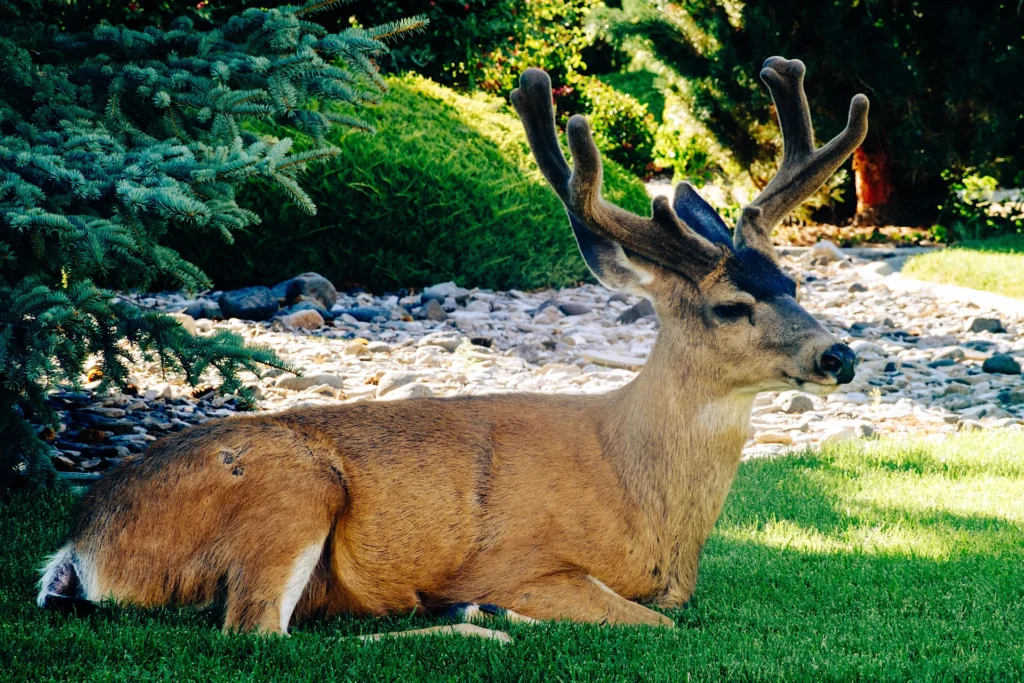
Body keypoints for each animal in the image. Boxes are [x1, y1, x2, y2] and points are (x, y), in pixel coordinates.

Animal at [38, 57, 867, 643]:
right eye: (731, 306)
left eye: (794, 281)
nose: (841, 355)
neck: (640, 488)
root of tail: (82, 542)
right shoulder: (524, 561)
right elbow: (655, 621)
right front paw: (488, 606)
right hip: (293, 486)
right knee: (259, 632)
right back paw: (470, 620)